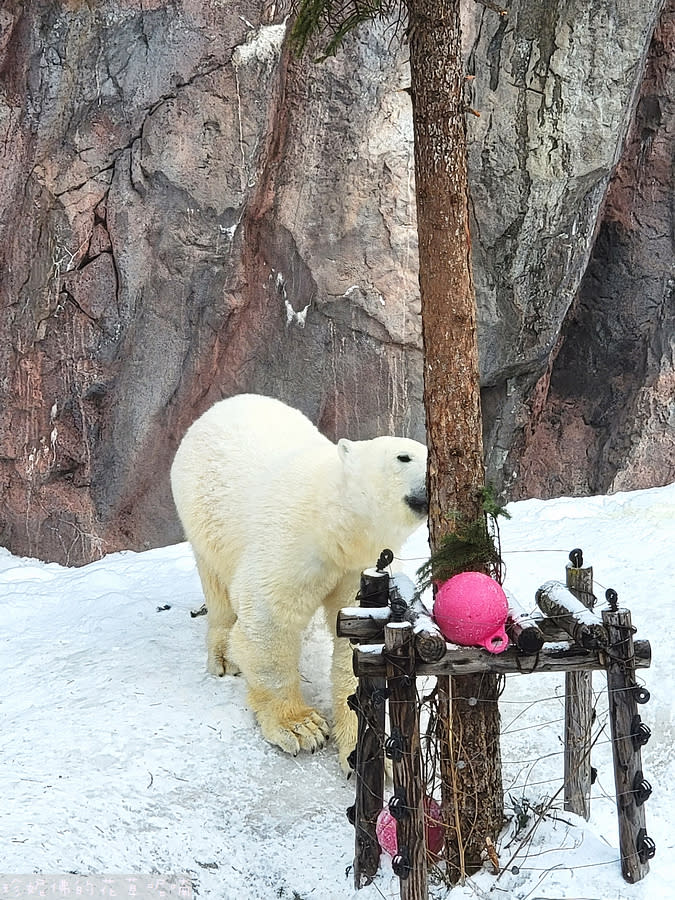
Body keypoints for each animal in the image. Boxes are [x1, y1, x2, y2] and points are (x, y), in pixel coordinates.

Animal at [169, 394, 428, 768]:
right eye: (403, 457)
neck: (333, 521)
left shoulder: (358, 567)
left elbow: (354, 637)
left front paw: (364, 746)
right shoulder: (289, 542)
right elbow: (269, 620)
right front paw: (301, 728)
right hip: (201, 514)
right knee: (216, 585)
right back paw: (223, 656)